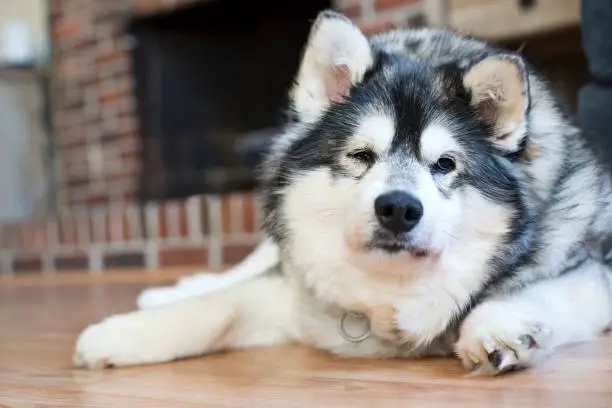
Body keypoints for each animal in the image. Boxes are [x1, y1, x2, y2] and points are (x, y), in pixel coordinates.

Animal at [74, 9, 612, 374]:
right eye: (361, 155)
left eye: (445, 164)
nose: (398, 209)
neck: (392, 294)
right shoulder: (296, 296)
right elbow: (219, 306)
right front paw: (119, 333)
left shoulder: (592, 268)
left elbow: (531, 290)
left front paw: (495, 327)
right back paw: (169, 291)